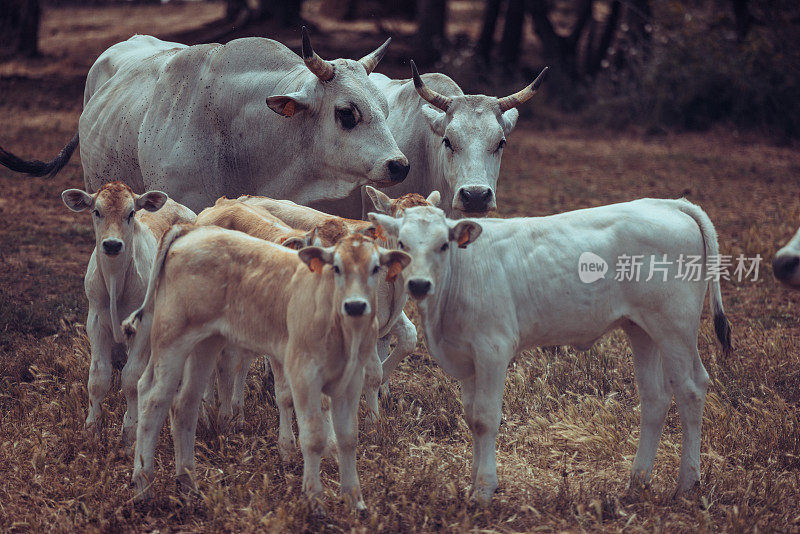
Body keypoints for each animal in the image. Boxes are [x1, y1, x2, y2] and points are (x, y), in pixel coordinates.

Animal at [60, 184, 195, 448]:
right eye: (96, 211)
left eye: (131, 213)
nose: (112, 245)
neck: (115, 282)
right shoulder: (96, 321)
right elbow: (98, 377)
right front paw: (92, 428)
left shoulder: (144, 324)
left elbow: (131, 379)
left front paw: (130, 430)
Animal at [125, 227, 412, 516]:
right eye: (337, 268)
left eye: (375, 268)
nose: (355, 305)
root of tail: (190, 231)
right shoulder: (302, 375)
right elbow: (313, 436)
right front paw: (314, 500)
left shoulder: (351, 381)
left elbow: (348, 437)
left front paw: (355, 501)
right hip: (171, 339)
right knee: (153, 399)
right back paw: (143, 485)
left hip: (206, 343)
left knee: (184, 405)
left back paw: (188, 484)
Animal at [368, 199, 732, 508]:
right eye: (402, 244)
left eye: (443, 245)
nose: (418, 285)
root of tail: (671, 203)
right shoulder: (468, 358)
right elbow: (471, 417)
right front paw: (473, 483)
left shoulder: (493, 349)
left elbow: (485, 418)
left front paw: (484, 489)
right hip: (641, 329)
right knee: (655, 398)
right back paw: (637, 481)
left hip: (675, 328)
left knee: (691, 389)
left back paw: (687, 483)